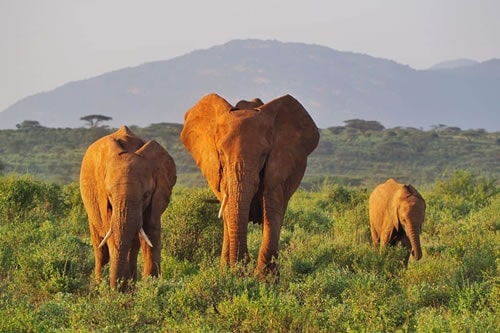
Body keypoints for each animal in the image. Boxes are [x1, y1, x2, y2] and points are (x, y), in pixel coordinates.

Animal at [79, 126, 176, 290]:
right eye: (109, 194)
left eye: (146, 195)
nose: (115, 289)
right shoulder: (104, 200)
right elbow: (113, 237)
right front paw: (121, 290)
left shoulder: (157, 197)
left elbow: (151, 234)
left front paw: (150, 289)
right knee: (101, 249)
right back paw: (100, 286)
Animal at [182, 92, 318, 276]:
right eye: (221, 153)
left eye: (264, 154)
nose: (243, 266)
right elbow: (229, 211)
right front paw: (233, 274)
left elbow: (272, 208)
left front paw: (264, 279)